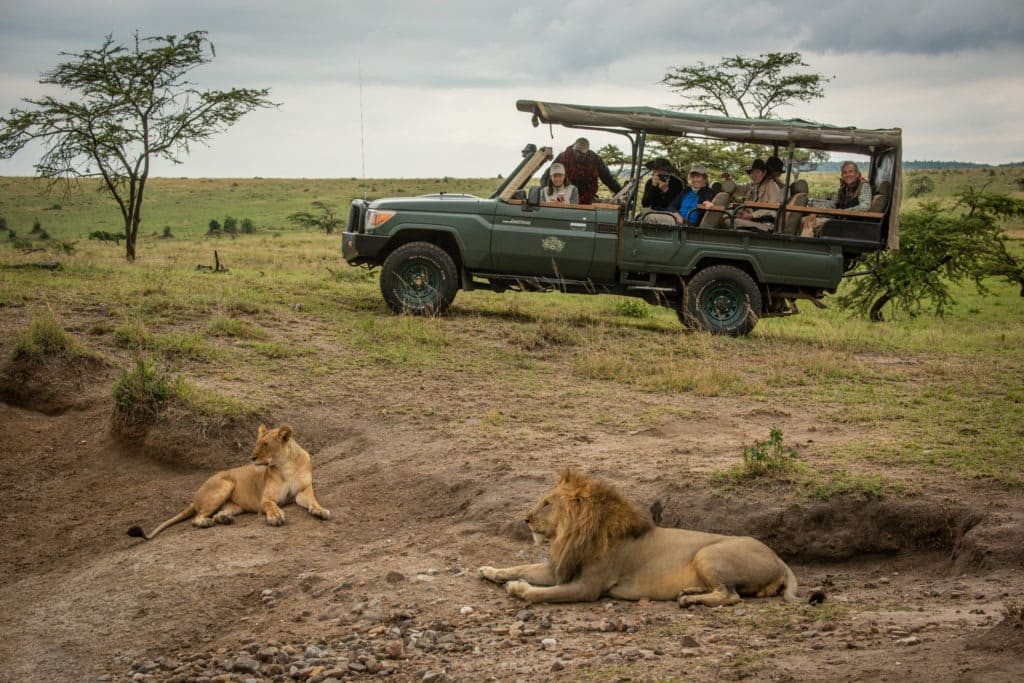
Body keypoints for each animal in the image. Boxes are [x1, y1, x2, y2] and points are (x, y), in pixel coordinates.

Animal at [125, 423, 329, 540]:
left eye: (265, 444)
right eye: (256, 443)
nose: (252, 458)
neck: (285, 465)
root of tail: (195, 497)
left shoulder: (303, 491)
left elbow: (313, 501)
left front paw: (321, 511)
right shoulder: (265, 499)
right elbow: (271, 506)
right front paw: (276, 516)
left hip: (234, 505)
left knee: (217, 513)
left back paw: (225, 519)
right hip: (225, 484)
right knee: (197, 518)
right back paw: (207, 523)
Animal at [479, 466, 798, 606]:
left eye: (546, 503)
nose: (525, 519)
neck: (571, 535)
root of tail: (781, 561)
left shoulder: (588, 587)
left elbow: (542, 593)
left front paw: (516, 588)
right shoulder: (560, 568)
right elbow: (522, 566)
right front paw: (490, 570)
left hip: (708, 554)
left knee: (731, 596)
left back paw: (690, 600)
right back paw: (690, 592)